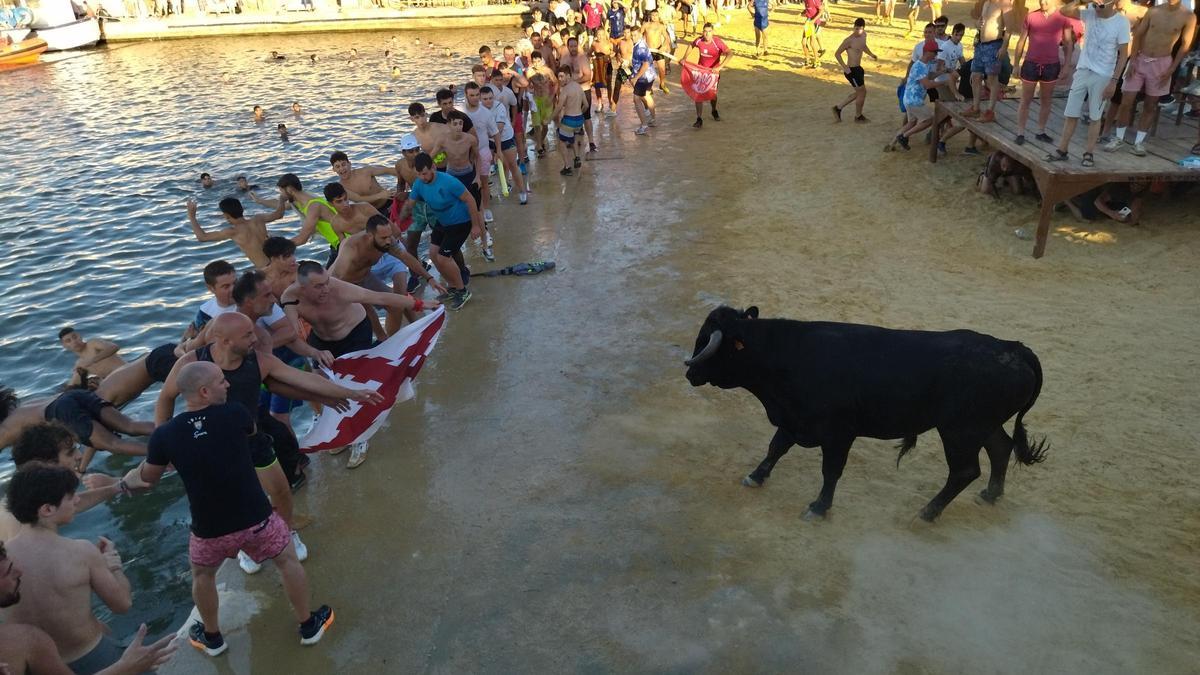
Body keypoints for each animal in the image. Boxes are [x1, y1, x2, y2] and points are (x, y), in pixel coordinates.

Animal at [686, 305, 1051, 521]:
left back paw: (928, 511)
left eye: (706, 342)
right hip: (982, 426)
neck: (788, 354)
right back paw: (990, 494)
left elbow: (830, 471)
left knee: (964, 471)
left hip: (960, 432)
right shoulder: (793, 419)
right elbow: (775, 448)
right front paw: (756, 476)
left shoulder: (838, 434)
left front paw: (819, 507)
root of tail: (1014, 348)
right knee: (1001, 448)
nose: (688, 373)